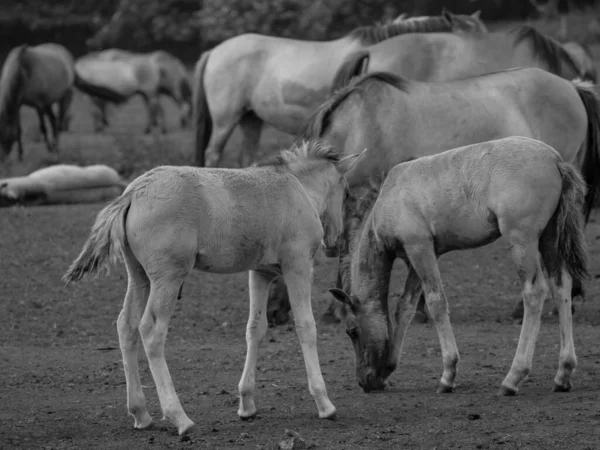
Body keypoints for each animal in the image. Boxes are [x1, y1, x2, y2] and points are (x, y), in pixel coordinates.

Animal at [63, 141, 364, 436]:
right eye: (347, 193)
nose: (335, 243)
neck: (297, 188)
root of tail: (134, 192)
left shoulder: (261, 272)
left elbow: (256, 328)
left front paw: (247, 404)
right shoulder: (298, 265)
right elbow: (306, 326)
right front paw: (325, 403)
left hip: (139, 277)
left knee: (126, 326)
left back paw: (141, 413)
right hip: (168, 277)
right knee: (151, 331)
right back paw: (179, 418)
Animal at [328, 135, 584, 396]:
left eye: (352, 331)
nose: (365, 382)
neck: (389, 197)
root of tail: (554, 159)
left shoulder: (419, 248)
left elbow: (436, 302)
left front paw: (447, 375)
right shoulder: (418, 256)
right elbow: (405, 308)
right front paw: (388, 368)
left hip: (522, 240)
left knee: (534, 292)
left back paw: (513, 377)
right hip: (549, 239)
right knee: (561, 286)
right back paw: (563, 373)